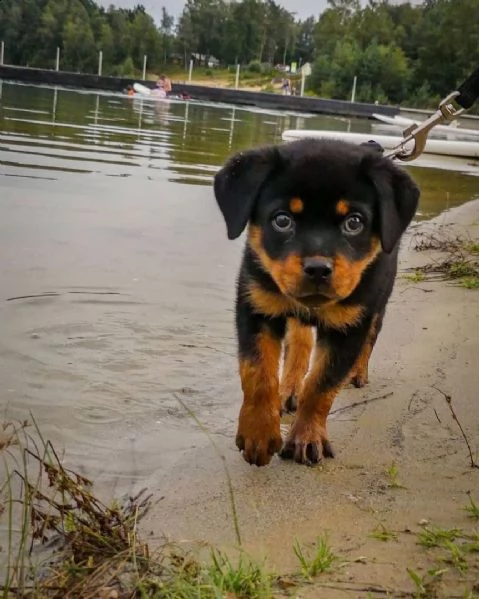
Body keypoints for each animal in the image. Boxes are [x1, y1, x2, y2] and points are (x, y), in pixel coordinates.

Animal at [214, 139, 420, 468]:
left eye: (354, 222)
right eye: (282, 220)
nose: (318, 269)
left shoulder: (350, 326)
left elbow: (322, 385)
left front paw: (307, 438)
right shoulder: (255, 306)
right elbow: (258, 372)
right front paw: (259, 432)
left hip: (379, 304)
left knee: (369, 340)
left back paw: (357, 373)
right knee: (300, 343)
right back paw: (288, 388)